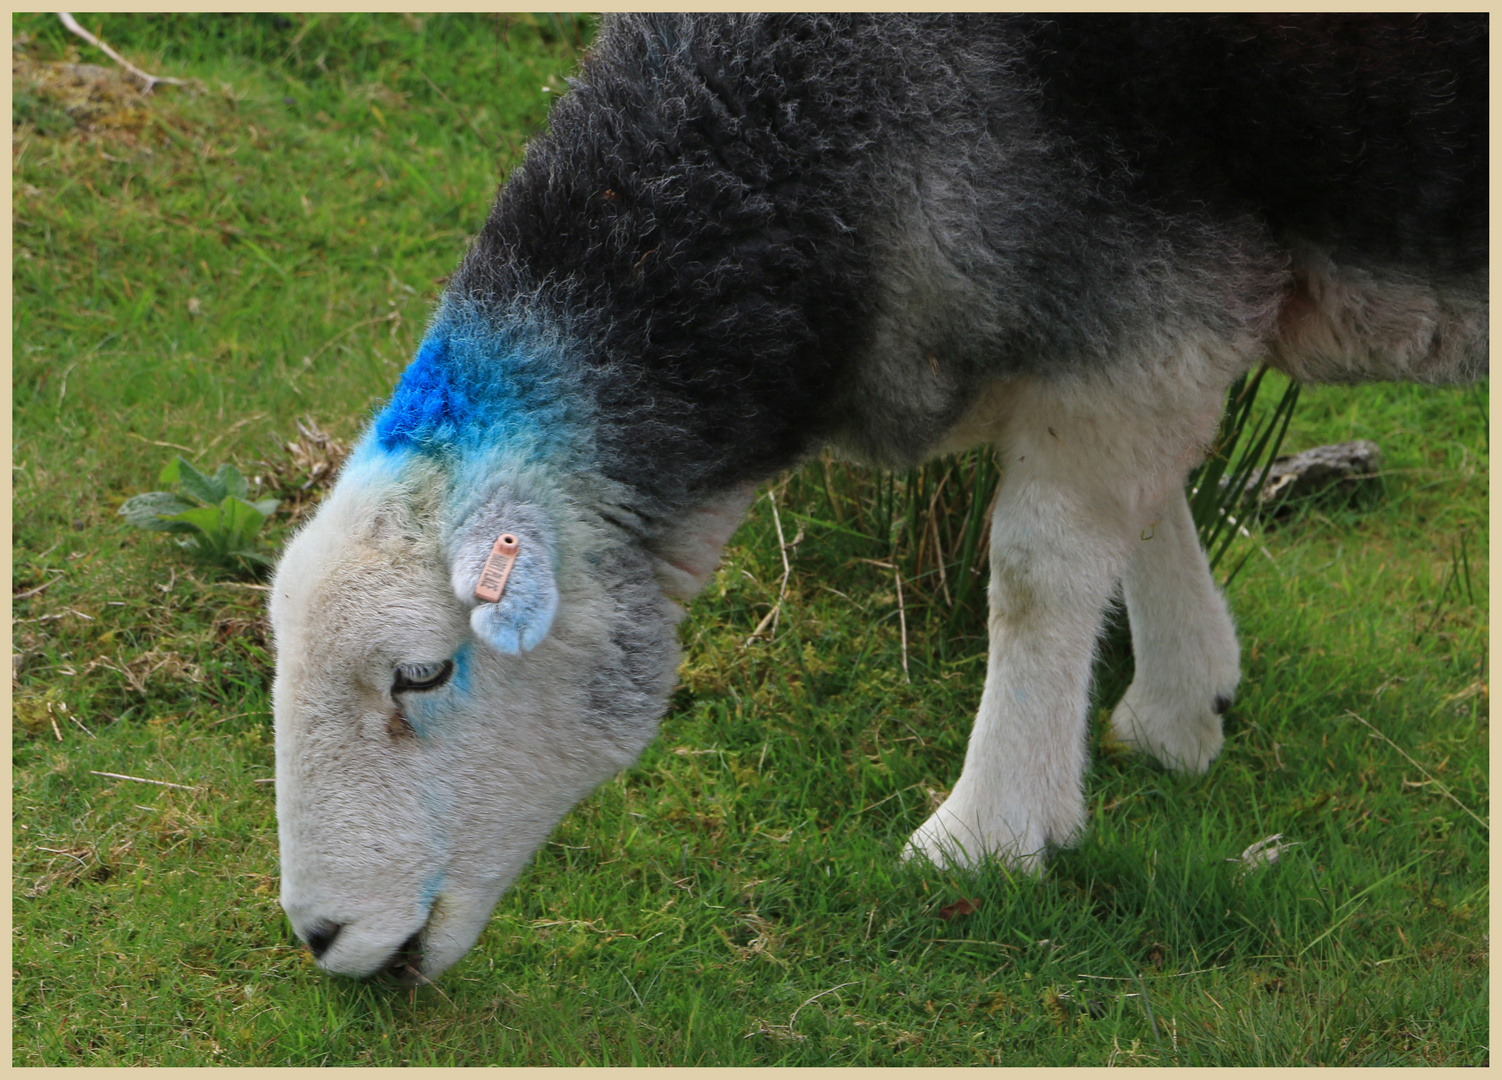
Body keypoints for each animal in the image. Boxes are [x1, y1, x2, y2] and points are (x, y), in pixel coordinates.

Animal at [267, 12, 1477, 985]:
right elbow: (1146, 495)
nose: (321, 938)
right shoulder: (1129, 305)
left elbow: (1038, 567)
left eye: (423, 674)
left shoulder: (1140, 282)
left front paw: (986, 838)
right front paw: (1184, 702)